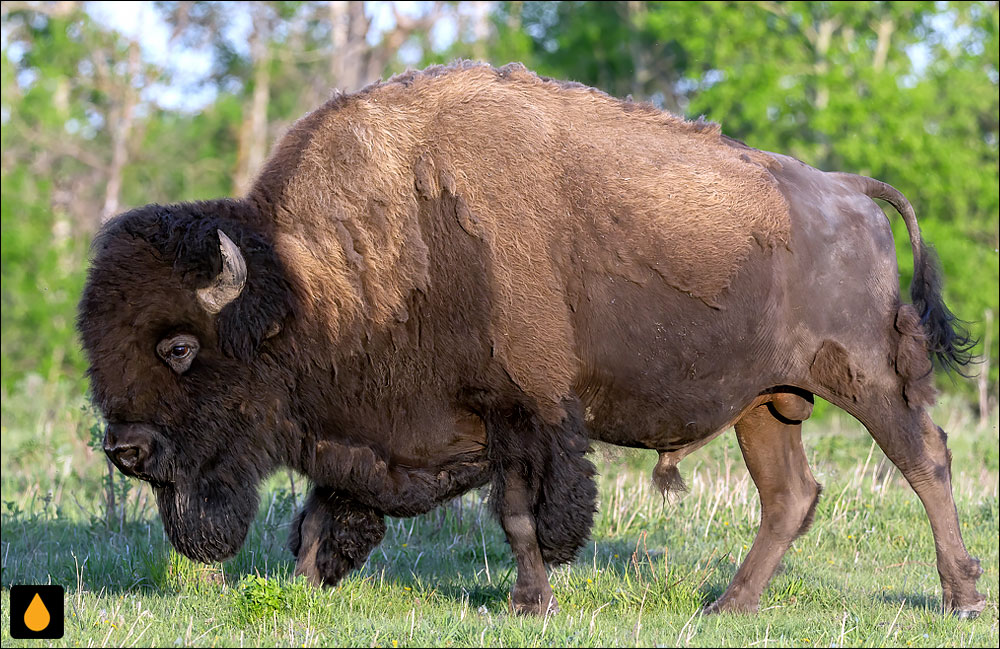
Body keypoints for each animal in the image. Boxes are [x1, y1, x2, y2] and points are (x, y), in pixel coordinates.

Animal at [78, 63, 984, 616]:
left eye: (179, 347)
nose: (124, 449)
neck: (309, 283)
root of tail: (849, 191)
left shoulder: (524, 411)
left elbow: (521, 514)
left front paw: (530, 601)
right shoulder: (367, 426)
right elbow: (319, 512)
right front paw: (304, 591)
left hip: (868, 378)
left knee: (926, 460)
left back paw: (962, 595)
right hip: (766, 402)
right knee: (790, 493)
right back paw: (728, 604)